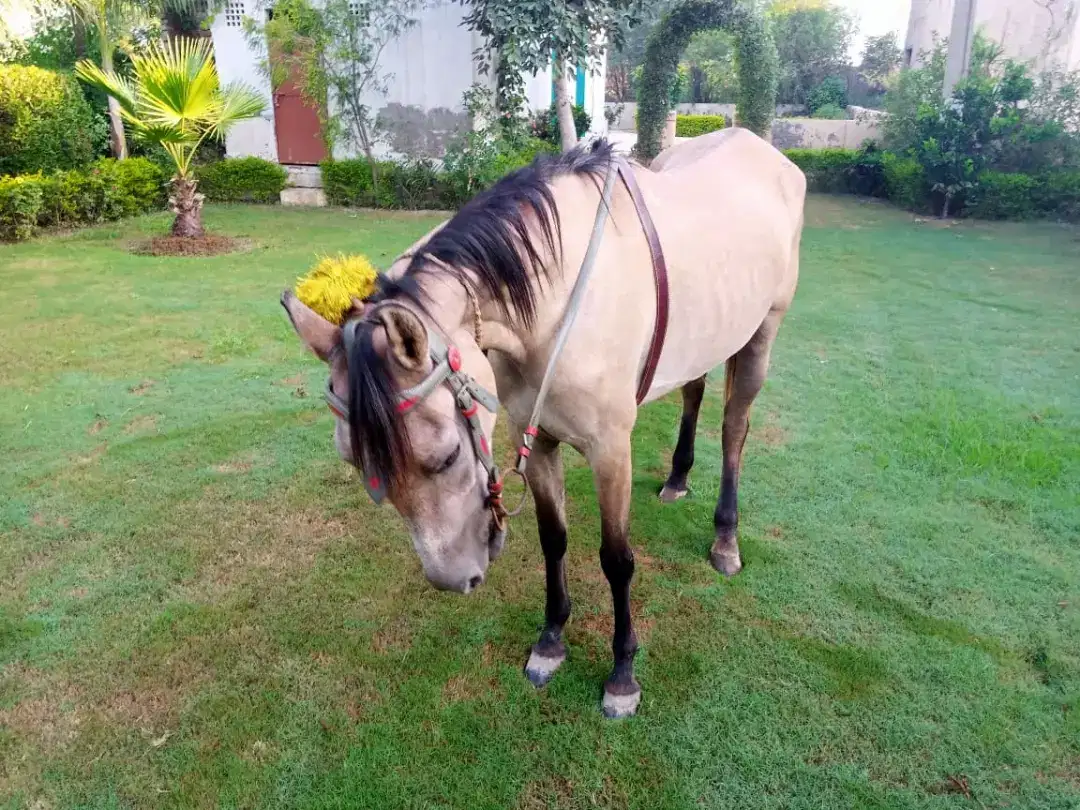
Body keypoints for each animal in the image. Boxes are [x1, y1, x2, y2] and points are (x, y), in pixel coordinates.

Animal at [281, 127, 806, 718]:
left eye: (447, 455)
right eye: (355, 462)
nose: (454, 580)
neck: (555, 306)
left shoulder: (610, 451)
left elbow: (616, 559)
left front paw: (622, 674)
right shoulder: (535, 437)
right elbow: (554, 538)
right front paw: (552, 640)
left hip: (762, 334)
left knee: (735, 430)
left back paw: (725, 540)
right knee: (693, 390)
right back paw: (676, 479)